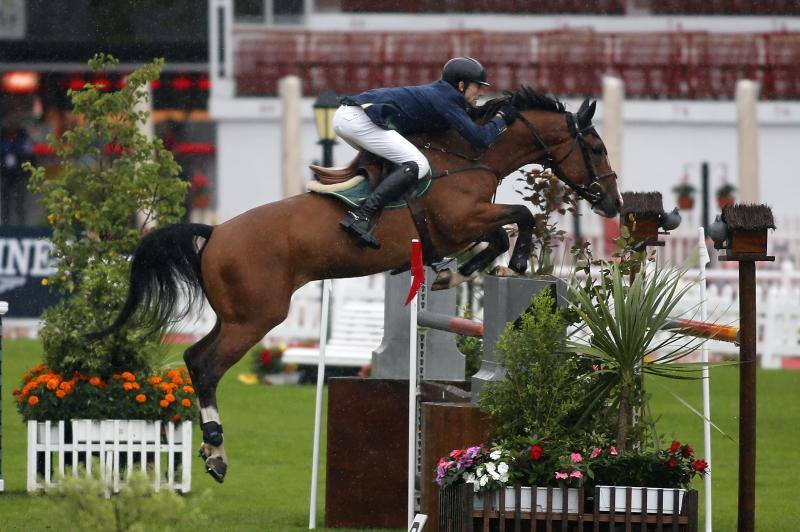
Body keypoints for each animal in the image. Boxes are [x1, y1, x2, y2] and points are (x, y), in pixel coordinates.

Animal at [92, 86, 620, 482]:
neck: (471, 155)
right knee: (205, 366)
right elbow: (520, 217)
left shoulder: (463, 227)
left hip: (235, 315)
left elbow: (498, 234)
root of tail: (215, 233)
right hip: (257, 317)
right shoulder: (459, 220)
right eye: (595, 148)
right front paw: (515, 258)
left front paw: (456, 272)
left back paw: (210, 452)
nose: (613, 202)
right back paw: (218, 455)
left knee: (192, 357)